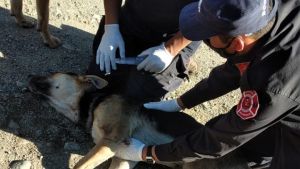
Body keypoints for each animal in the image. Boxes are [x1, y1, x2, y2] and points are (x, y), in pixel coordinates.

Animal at [28, 72, 248, 169]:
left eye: (51, 73)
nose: (29, 76)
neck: (94, 101)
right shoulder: (123, 155)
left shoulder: (112, 139)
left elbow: (79, 165)